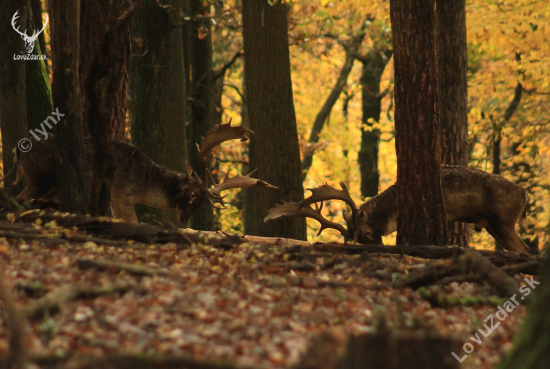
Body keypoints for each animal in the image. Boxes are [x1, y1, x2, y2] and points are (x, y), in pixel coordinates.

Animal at [8, 122, 276, 223]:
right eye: (191, 194)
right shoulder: (123, 194)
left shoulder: (115, 197)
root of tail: (17, 148)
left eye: (201, 202)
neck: (145, 183)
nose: (183, 219)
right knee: (18, 198)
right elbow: (133, 222)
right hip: (40, 177)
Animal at [268, 165, 536, 253]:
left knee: (525, 249)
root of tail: (524, 194)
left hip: (503, 220)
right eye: (356, 238)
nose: (378, 247)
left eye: (366, 232)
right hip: (494, 226)